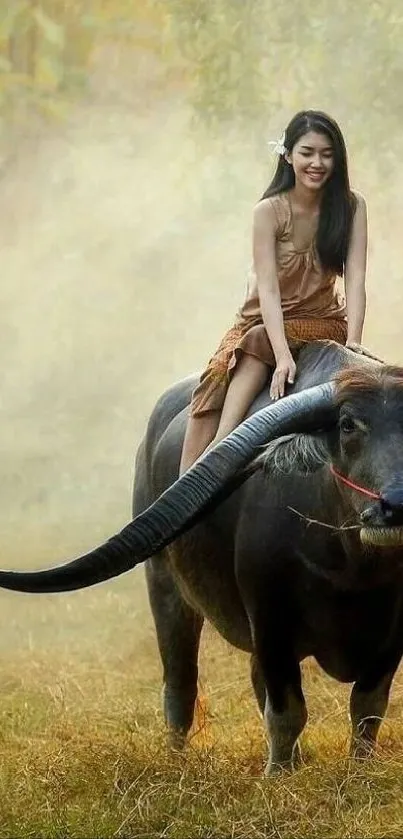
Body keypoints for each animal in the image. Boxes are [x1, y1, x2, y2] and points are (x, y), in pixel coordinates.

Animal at [0, 340, 403, 776]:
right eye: (348, 425)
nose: (394, 507)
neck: (350, 570)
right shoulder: (270, 621)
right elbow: (287, 712)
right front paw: (278, 775)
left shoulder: (391, 638)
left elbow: (367, 709)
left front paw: (358, 770)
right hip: (165, 588)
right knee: (180, 687)